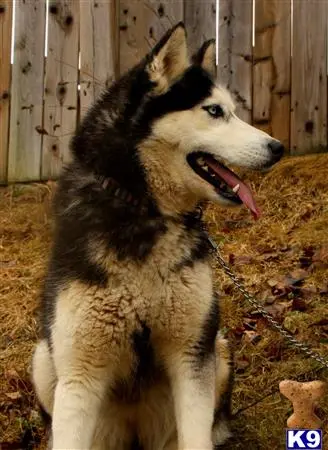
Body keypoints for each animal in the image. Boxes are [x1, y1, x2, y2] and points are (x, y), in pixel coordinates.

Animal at [31, 22, 284, 450]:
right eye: (214, 111)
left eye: (232, 110)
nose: (278, 147)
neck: (146, 210)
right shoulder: (80, 372)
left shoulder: (192, 355)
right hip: (45, 362)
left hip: (218, 350)